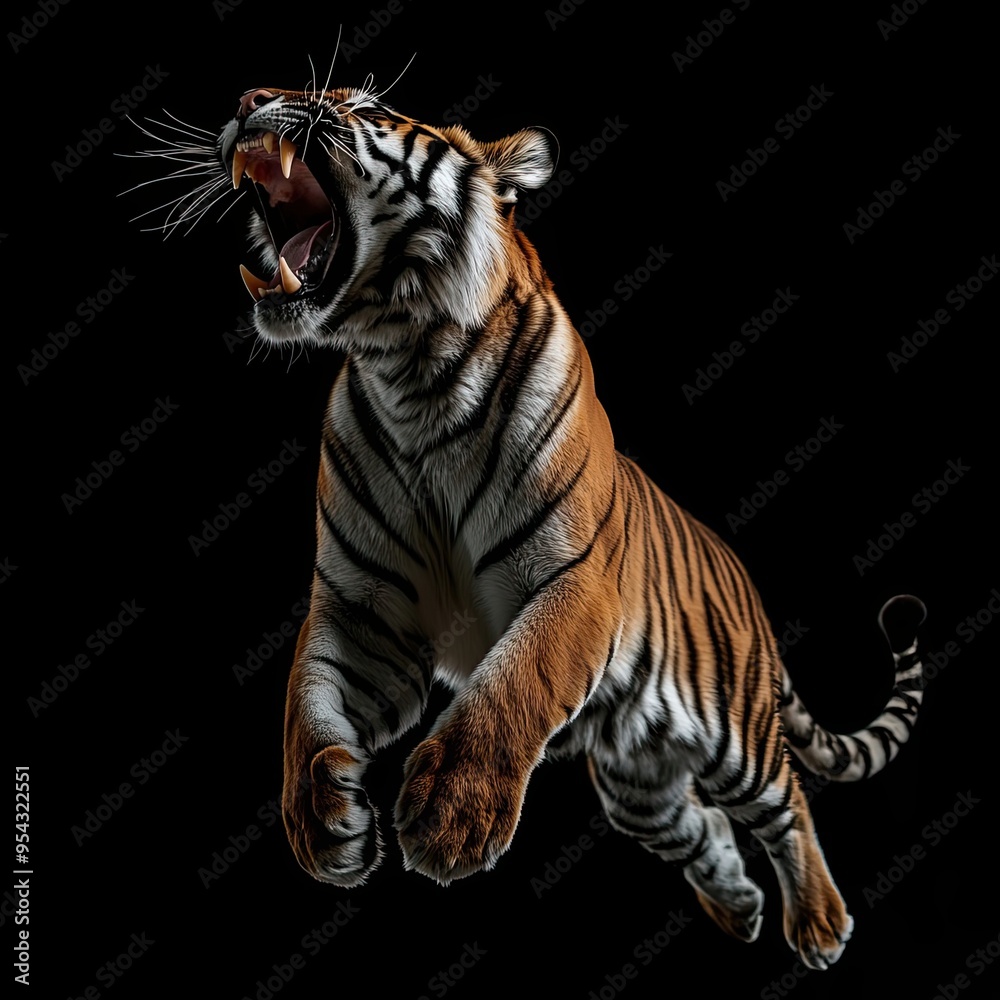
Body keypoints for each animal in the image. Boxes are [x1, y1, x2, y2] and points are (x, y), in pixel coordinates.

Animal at [131, 73, 927, 971]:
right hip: (639, 776)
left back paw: (819, 923)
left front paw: (452, 815)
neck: (409, 370)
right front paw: (322, 820)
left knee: (786, 800)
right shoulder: (362, 611)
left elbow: (514, 681)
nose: (247, 98)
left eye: (363, 106)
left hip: (736, 734)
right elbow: (306, 703)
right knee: (701, 827)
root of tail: (744, 578)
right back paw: (740, 910)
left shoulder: (573, 581)